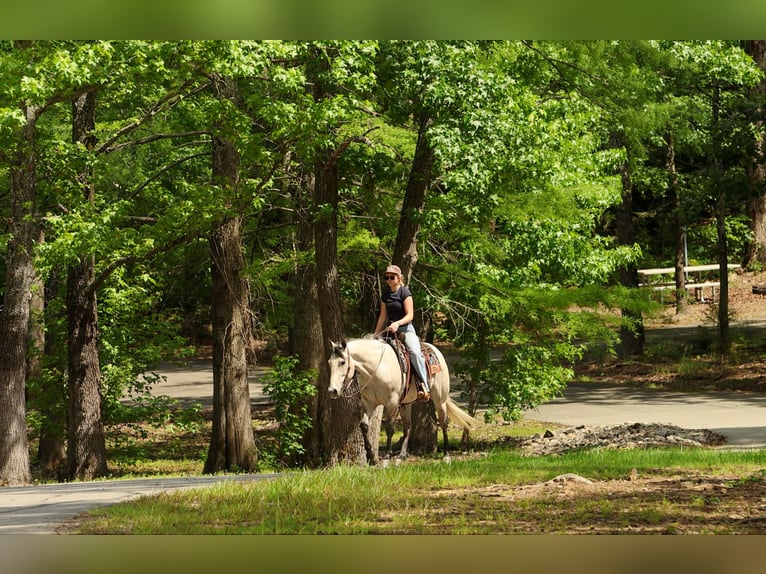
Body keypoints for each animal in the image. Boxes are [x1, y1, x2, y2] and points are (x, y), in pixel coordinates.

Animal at [327, 336, 476, 465]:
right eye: (329, 363)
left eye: (342, 362)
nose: (332, 391)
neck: (377, 368)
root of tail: (436, 351)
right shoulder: (368, 403)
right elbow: (364, 426)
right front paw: (372, 457)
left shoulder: (392, 403)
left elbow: (389, 427)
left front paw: (386, 457)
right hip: (406, 403)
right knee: (408, 426)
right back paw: (401, 456)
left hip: (440, 398)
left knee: (443, 422)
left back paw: (446, 455)